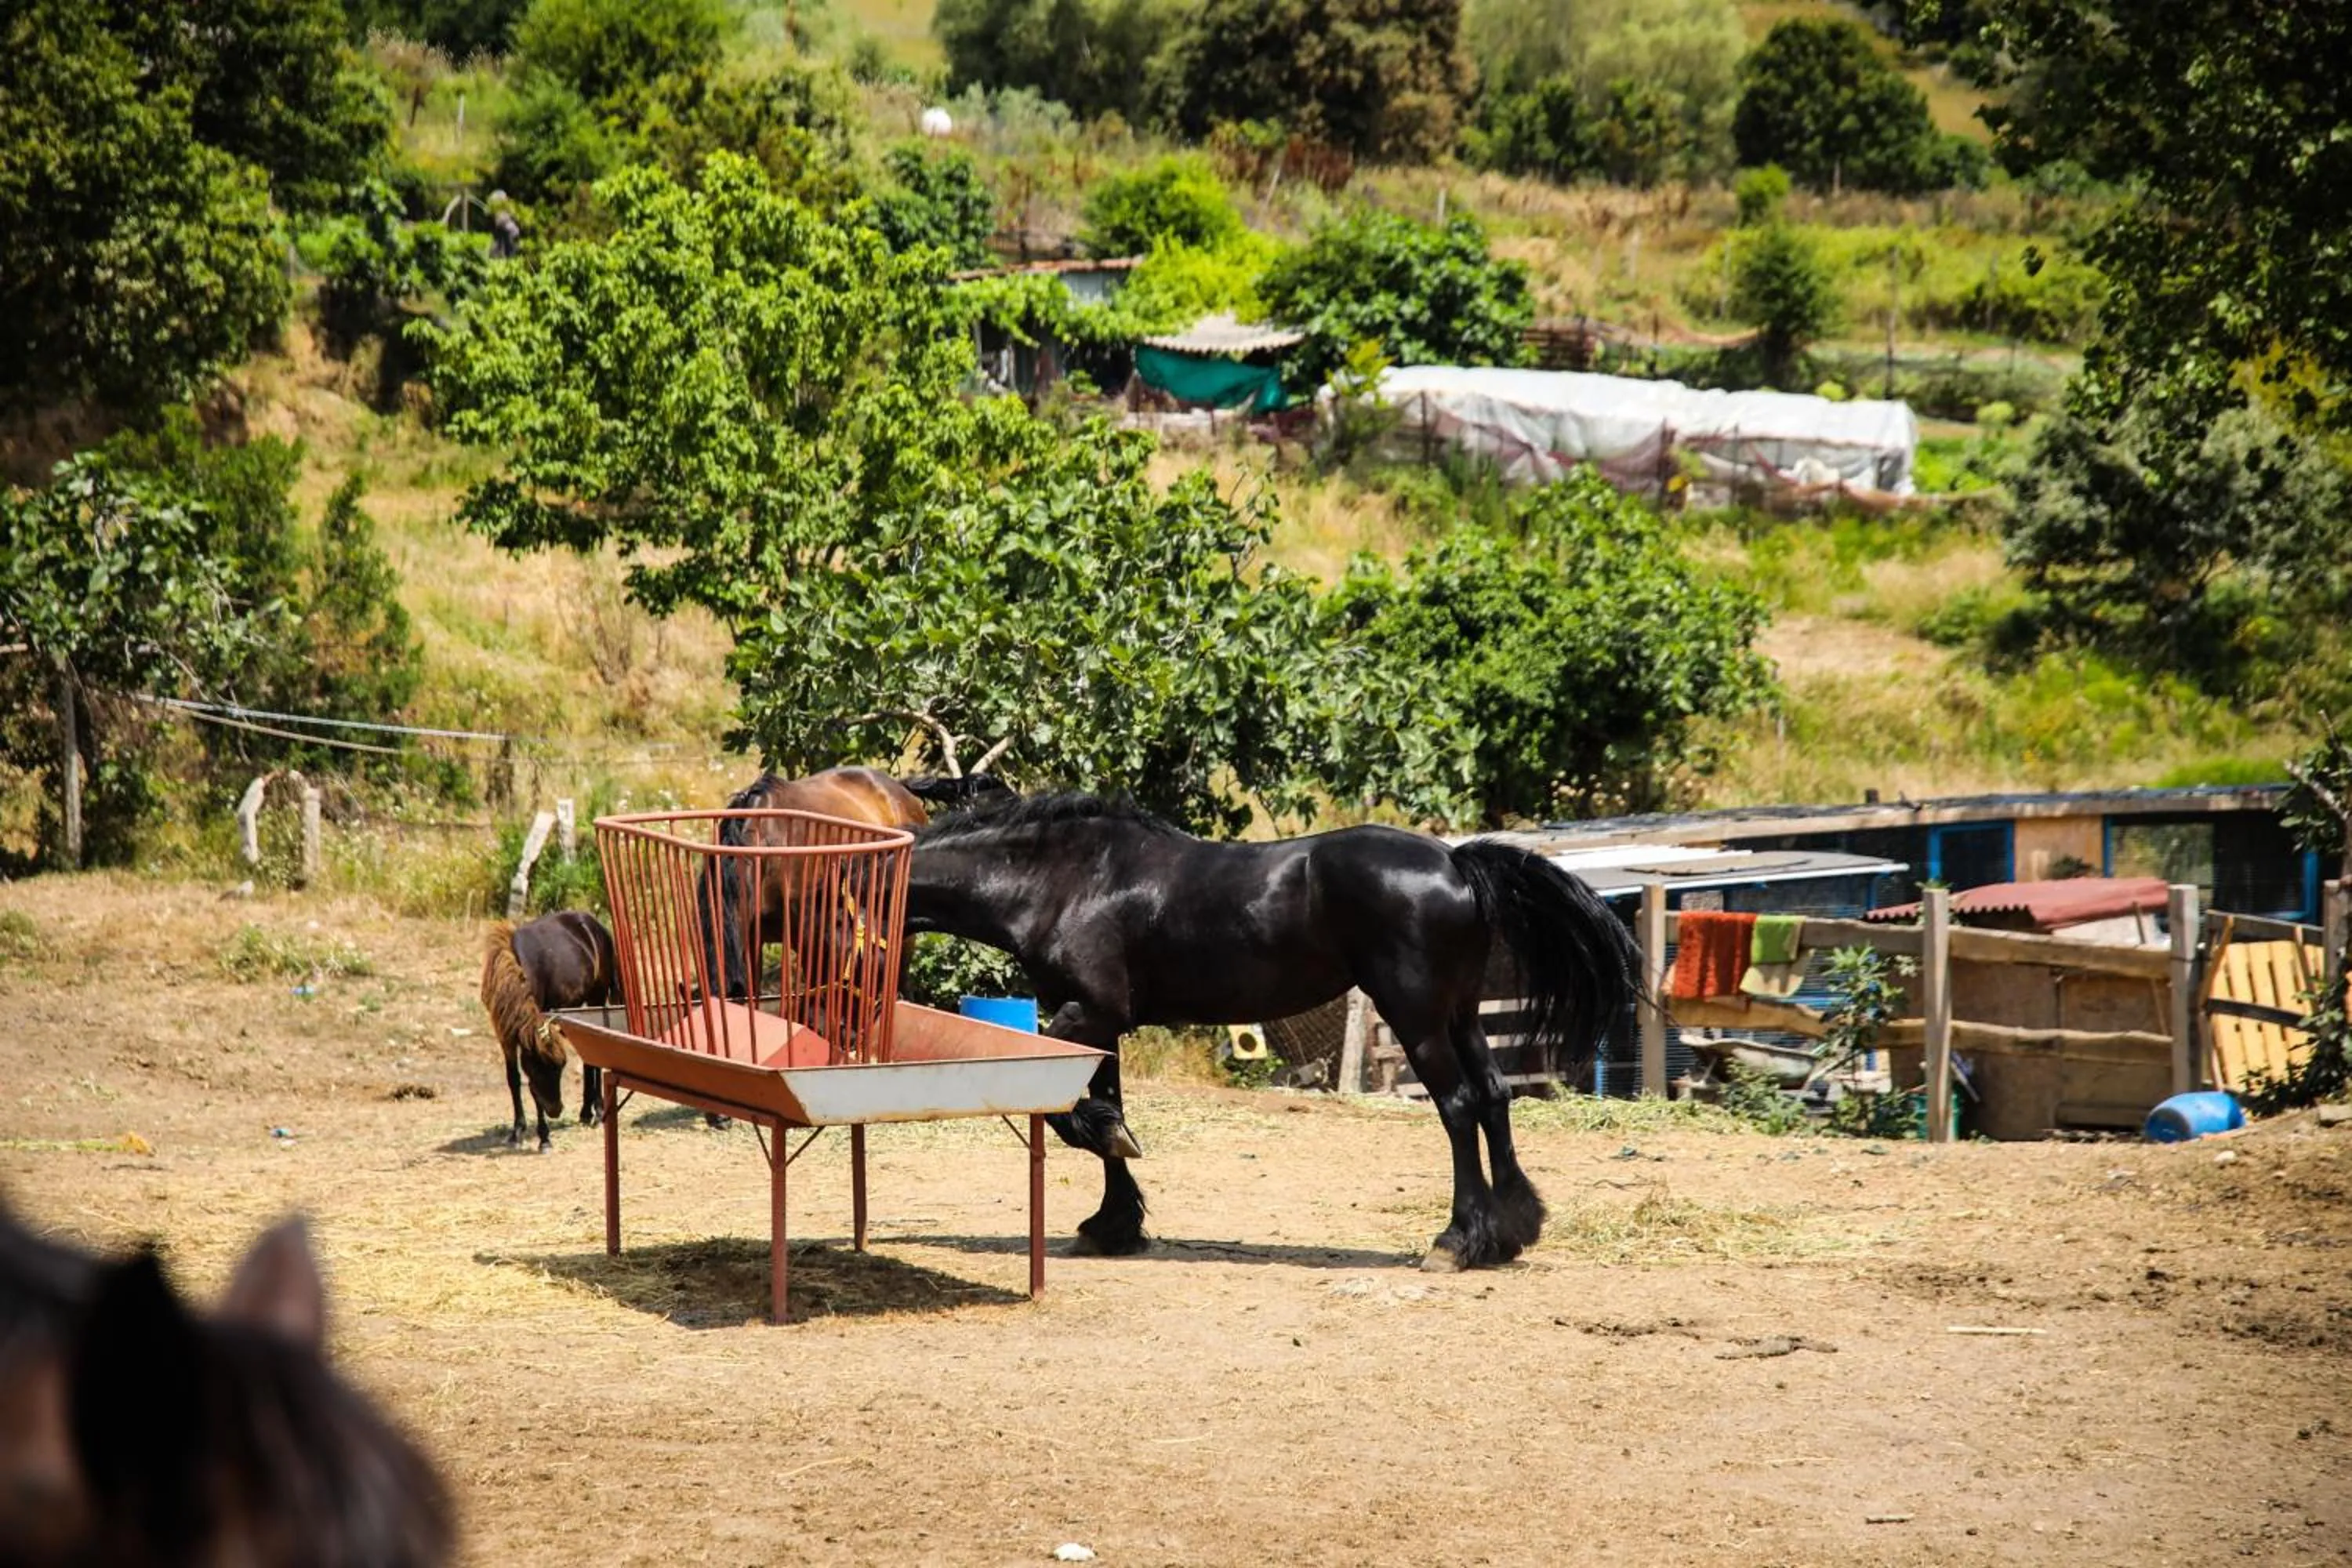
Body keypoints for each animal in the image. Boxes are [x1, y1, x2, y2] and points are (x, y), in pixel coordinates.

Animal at [481, 910, 617, 1151]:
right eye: (537, 1070)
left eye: (559, 1069)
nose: (556, 1110)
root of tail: (591, 922)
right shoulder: (504, 1035)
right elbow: (514, 1079)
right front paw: (517, 1131)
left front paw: (544, 1137)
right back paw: (585, 1111)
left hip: (597, 997)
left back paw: (599, 1112)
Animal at [904, 793, 1643, 1271]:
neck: (1061, 878)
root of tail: (1455, 862)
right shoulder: (1100, 1024)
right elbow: (1105, 1109)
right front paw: (1113, 1225)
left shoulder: (1088, 1014)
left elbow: (1079, 1117)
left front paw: (1112, 1183)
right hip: (1461, 1014)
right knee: (1493, 1096)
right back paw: (1511, 1231)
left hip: (1418, 1017)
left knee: (1459, 1107)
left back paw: (1456, 1242)